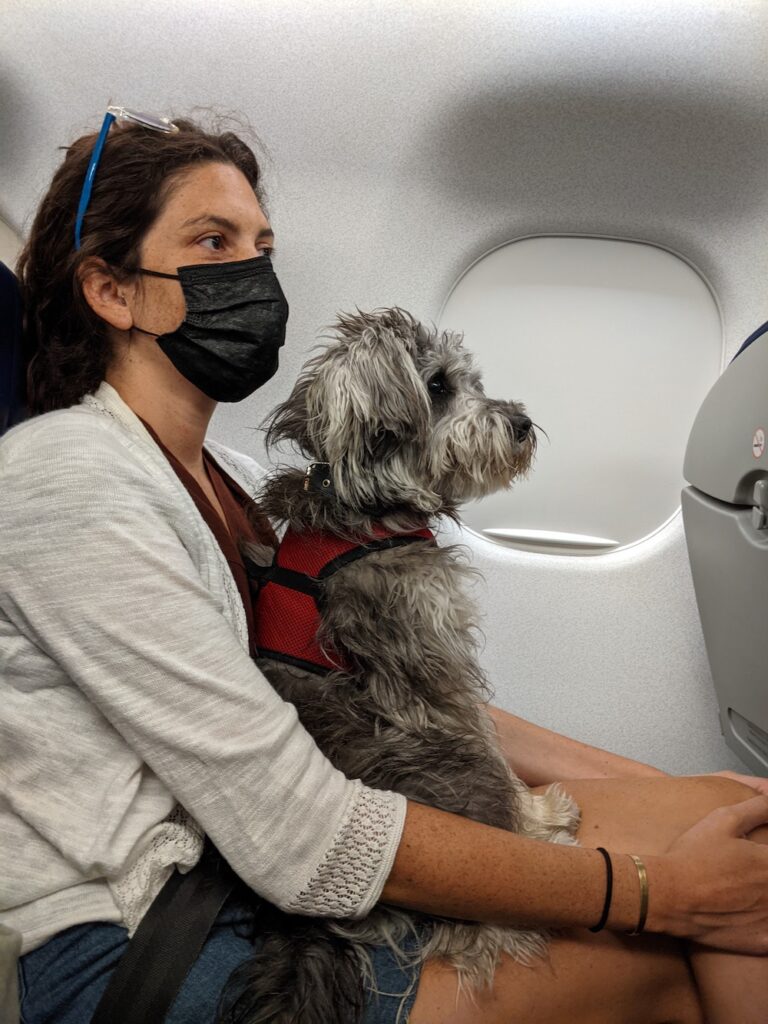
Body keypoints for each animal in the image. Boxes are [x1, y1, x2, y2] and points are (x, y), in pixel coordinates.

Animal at [222, 307, 581, 1024]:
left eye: (473, 380)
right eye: (439, 386)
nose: (522, 423)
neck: (367, 506)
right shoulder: (433, 662)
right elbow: (489, 743)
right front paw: (537, 818)